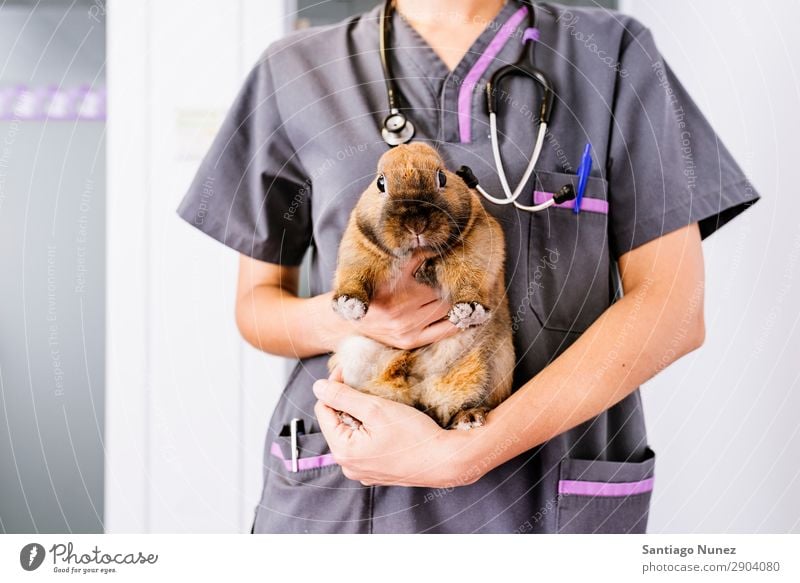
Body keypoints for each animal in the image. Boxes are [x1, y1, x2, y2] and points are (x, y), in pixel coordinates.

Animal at [330, 144, 512, 432]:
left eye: (442, 178)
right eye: (381, 183)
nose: (415, 224)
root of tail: (420, 387)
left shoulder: (479, 244)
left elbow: (470, 278)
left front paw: (468, 311)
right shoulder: (357, 249)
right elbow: (353, 276)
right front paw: (349, 306)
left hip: (495, 364)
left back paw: (469, 418)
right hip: (357, 355)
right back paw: (352, 417)